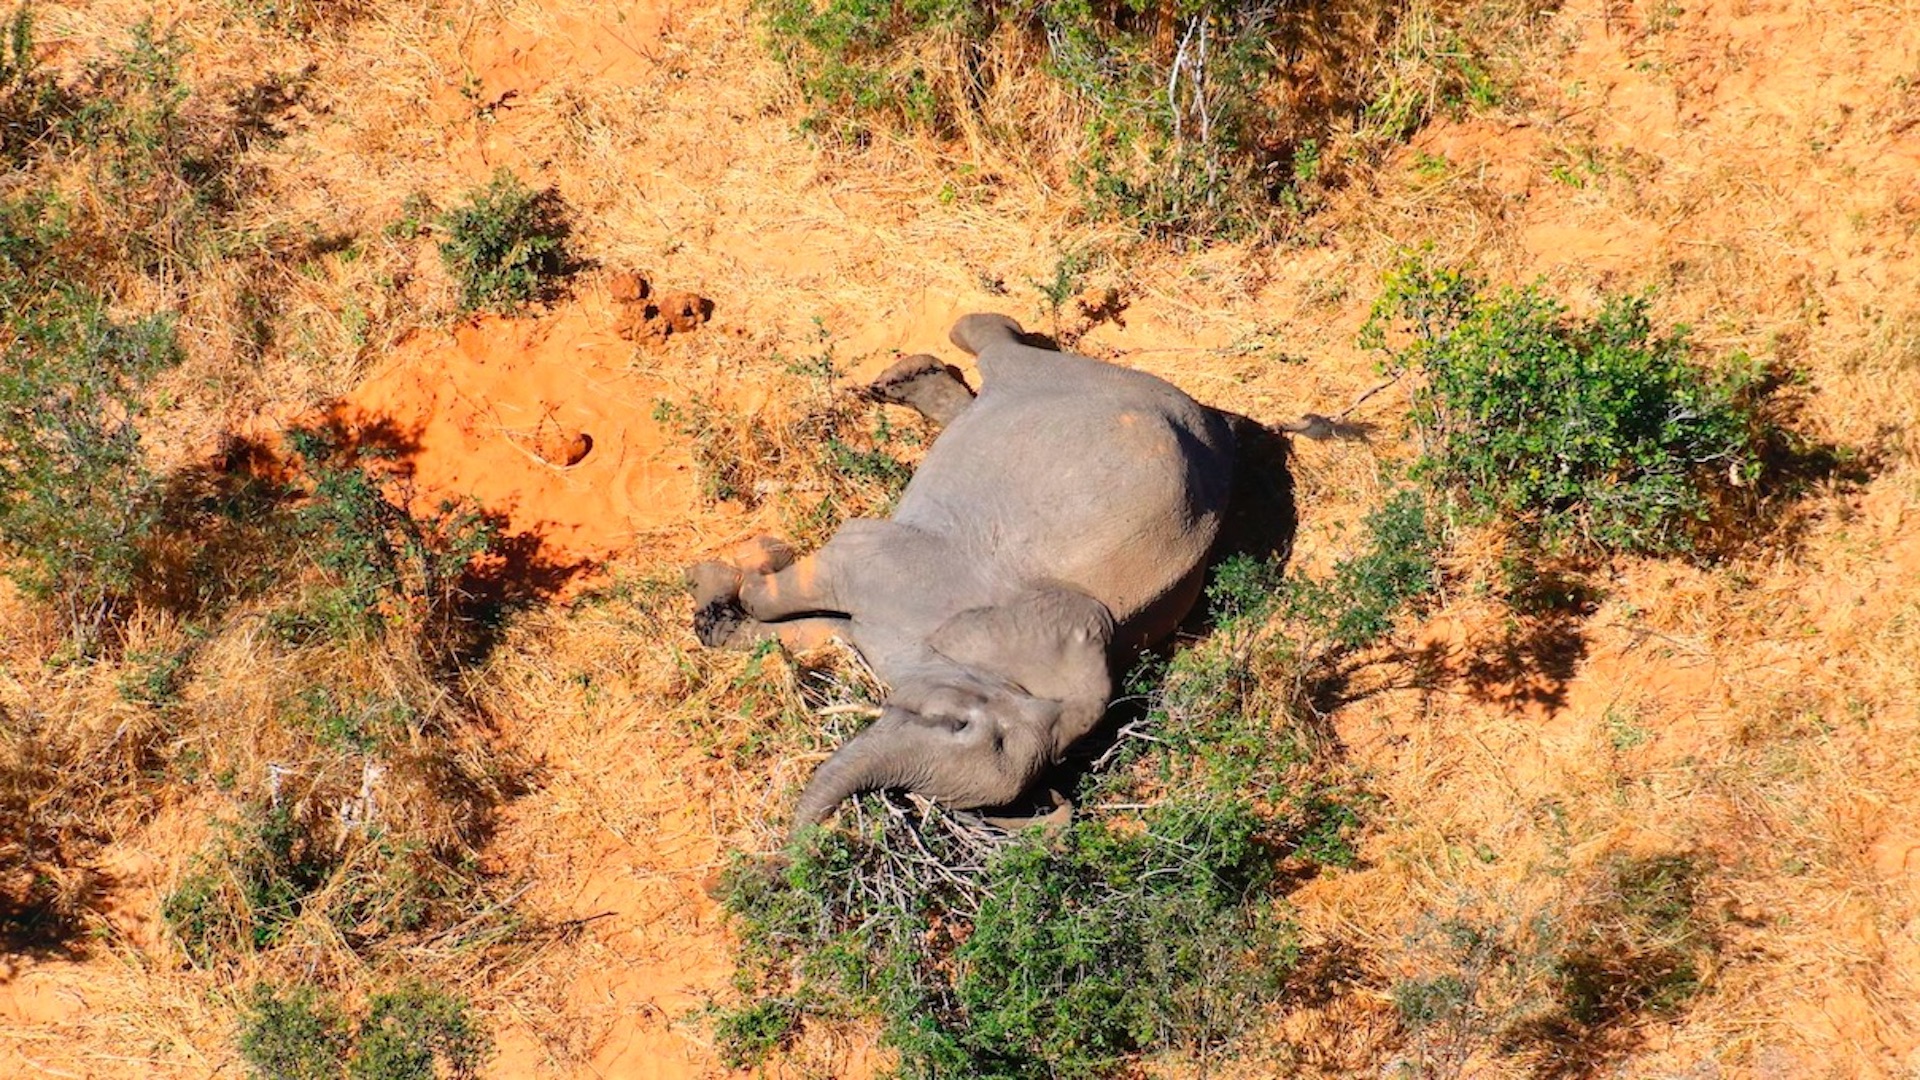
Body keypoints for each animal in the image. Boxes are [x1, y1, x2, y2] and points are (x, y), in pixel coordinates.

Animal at [686, 312, 1283, 836]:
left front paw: (717, 601)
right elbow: (810, 580)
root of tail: (1209, 417)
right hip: (1083, 380)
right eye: (959, 724)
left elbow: (818, 631)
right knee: (1000, 350)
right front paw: (747, 561)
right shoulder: (906, 572)